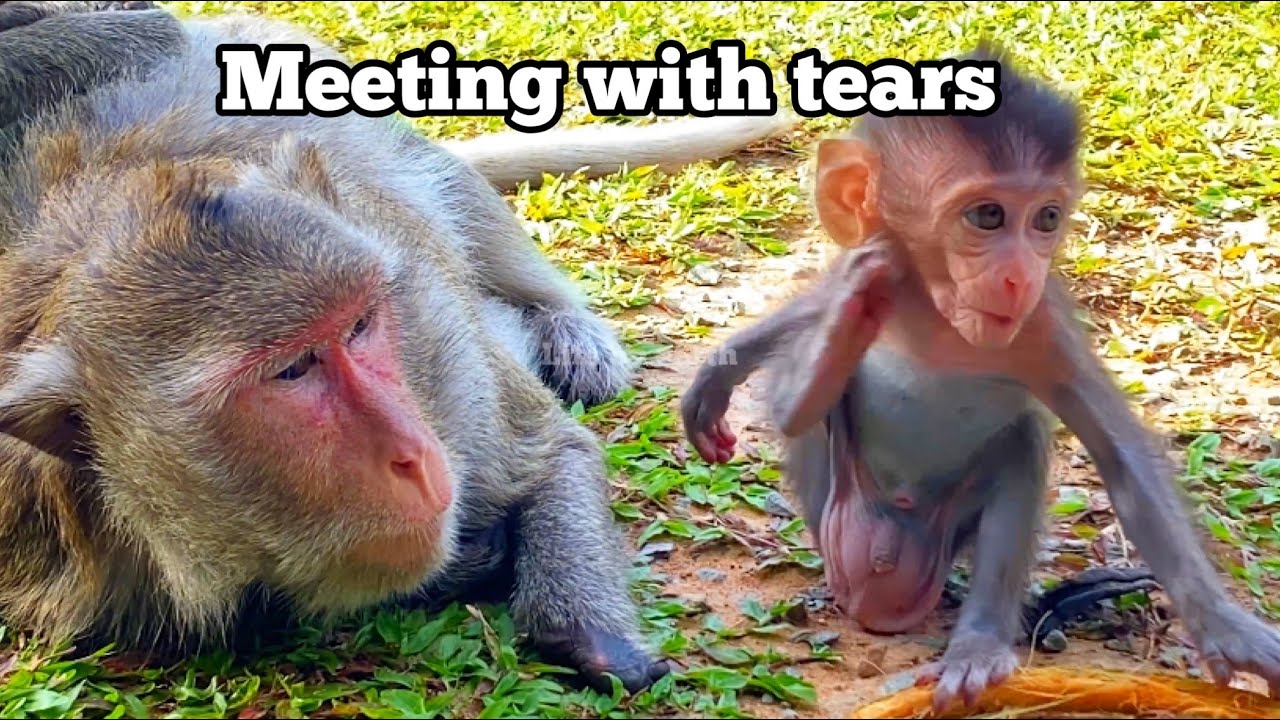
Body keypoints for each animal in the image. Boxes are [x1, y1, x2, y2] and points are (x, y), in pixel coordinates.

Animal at [0, 3, 794, 694]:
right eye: (291, 369)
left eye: (359, 327)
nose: (412, 453)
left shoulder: (442, 350)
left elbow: (554, 452)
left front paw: (588, 630)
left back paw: (566, 324)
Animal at [681, 44, 1280, 711]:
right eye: (988, 216)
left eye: (1046, 218)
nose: (1020, 275)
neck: (939, 318)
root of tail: (879, 602)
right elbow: (796, 402)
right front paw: (844, 308)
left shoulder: (1041, 326)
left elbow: (1122, 460)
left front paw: (1228, 632)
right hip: (838, 520)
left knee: (1023, 440)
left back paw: (979, 644)